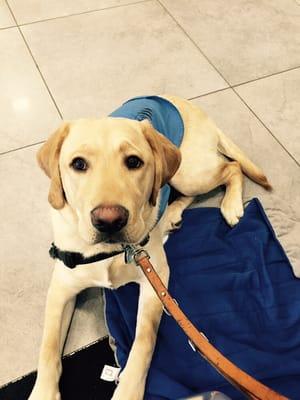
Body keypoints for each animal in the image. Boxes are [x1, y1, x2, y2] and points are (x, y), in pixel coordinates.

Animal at [29, 94, 270, 400]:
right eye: (78, 164)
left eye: (134, 161)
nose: (109, 220)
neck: (111, 252)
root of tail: (187, 104)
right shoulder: (61, 288)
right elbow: (47, 348)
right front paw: (42, 392)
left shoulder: (156, 279)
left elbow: (143, 341)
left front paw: (127, 391)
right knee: (178, 193)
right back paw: (170, 216)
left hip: (188, 172)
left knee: (230, 168)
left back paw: (230, 205)